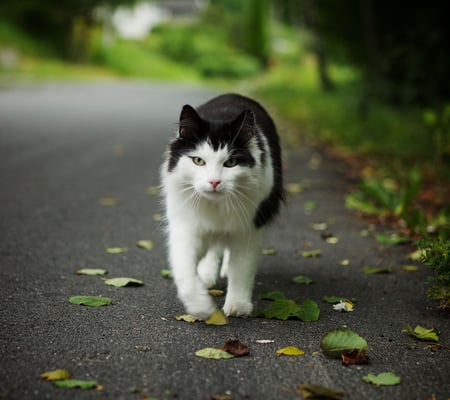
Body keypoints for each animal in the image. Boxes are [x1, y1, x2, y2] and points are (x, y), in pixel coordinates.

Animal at [160, 94, 284, 318]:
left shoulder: (250, 228)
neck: (215, 204)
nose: (214, 182)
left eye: (231, 163)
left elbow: (241, 268)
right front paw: (200, 306)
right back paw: (206, 274)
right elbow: (184, 269)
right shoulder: (186, 225)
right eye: (198, 161)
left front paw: (238, 305)